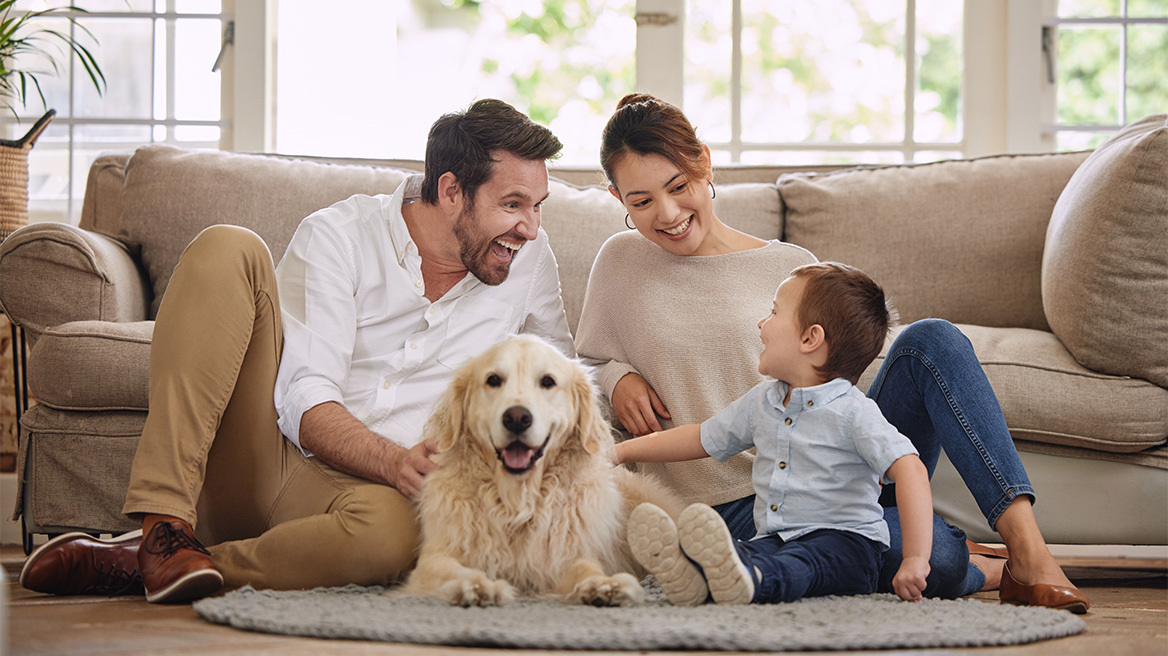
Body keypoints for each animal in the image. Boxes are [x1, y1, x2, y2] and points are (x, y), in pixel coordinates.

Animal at [408, 333, 686, 606]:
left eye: (547, 381)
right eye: (493, 380)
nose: (517, 418)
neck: (517, 500)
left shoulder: (562, 556)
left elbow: (585, 567)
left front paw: (603, 585)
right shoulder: (435, 557)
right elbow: (452, 570)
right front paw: (477, 586)